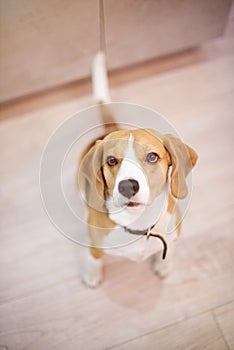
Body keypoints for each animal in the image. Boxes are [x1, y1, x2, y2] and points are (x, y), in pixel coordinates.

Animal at [77, 52, 197, 288]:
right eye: (111, 160)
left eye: (152, 157)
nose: (127, 186)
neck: (138, 223)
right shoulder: (95, 244)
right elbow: (94, 258)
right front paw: (91, 275)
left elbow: (168, 251)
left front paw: (163, 265)